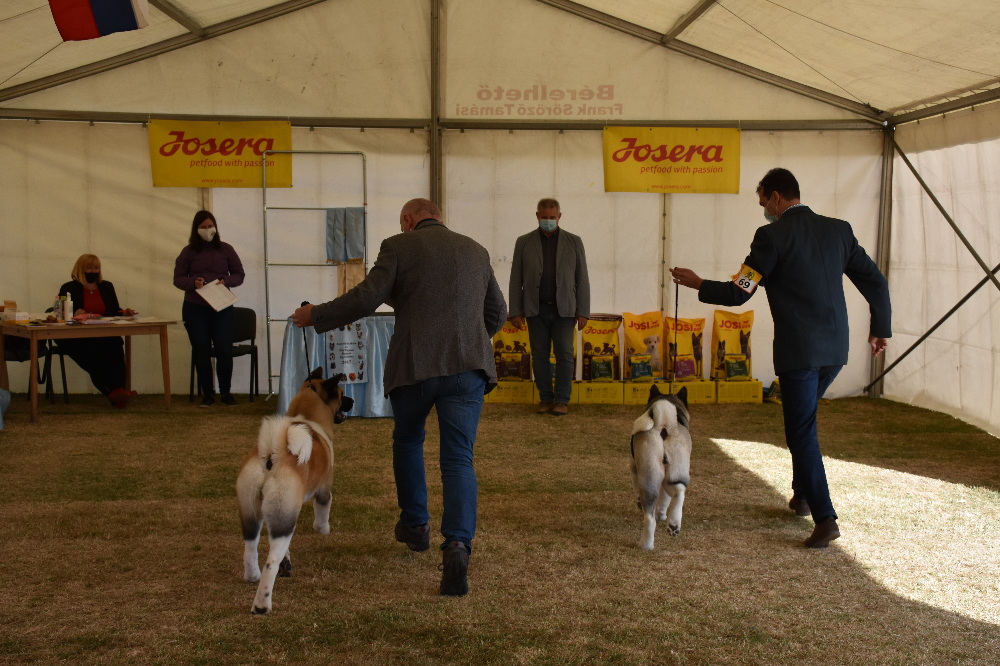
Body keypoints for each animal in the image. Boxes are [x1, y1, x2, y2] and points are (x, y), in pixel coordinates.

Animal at [236, 368, 353, 614]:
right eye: (340, 394)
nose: (352, 401)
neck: (307, 417)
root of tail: (272, 454)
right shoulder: (323, 490)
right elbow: (323, 513)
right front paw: (324, 530)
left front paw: (287, 561)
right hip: (284, 513)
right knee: (271, 560)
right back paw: (262, 603)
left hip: (253, 511)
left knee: (250, 547)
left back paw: (253, 576)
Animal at [629, 384, 691, 550]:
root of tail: (664, 424)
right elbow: (664, 500)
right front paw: (662, 515)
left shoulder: (633, 467)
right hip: (674, 473)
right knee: (678, 492)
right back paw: (673, 525)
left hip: (648, 476)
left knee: (649, 516)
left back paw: (646, 544)